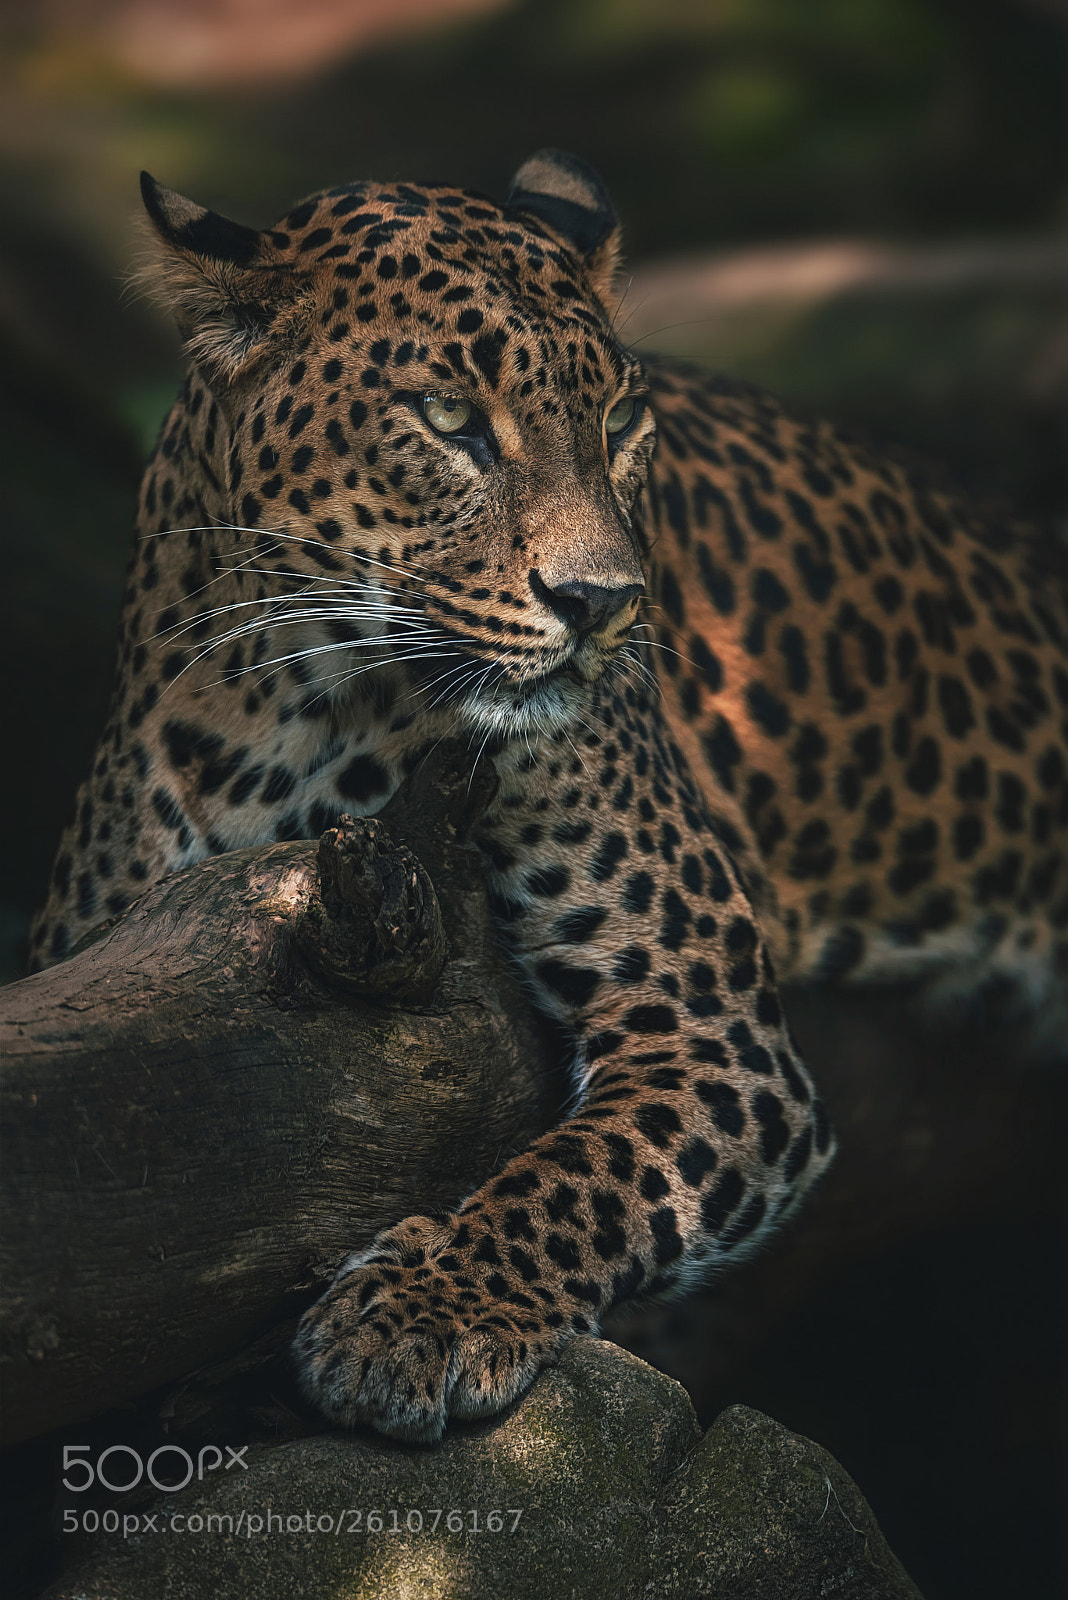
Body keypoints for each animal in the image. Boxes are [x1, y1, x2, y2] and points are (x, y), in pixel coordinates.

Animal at [28, 149, 1068, 1443]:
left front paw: (416, 1312)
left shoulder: (712, 1032)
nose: (605, 603)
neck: (307, 706)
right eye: (449, 421)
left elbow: (578, 1180)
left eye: (620, 422)